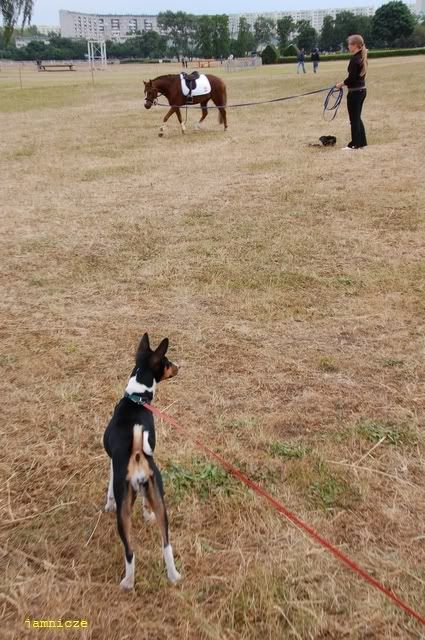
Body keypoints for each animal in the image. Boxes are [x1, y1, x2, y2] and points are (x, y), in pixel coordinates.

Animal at [103, 333, 181, 589]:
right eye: (167, 362)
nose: (179, 366)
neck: (136, 398)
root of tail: (138, 453)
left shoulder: (112, 465)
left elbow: (108, 488)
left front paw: (108, 504)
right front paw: (147, 515)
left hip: (124, 509)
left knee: (129, 551)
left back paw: (127, 583)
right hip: (158, 496)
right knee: (166, 545)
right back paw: (174, 576)